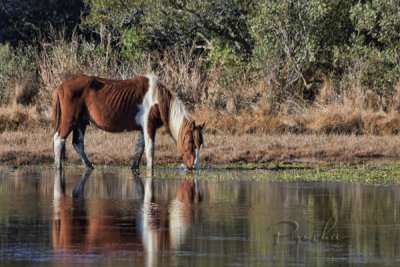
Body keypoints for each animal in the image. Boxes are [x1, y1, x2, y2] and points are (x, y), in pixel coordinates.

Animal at [52, 74, 205, 173]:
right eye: (191, 143)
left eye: (200, 144)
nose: (195, 167)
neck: (157, 99)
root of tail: (61, 86)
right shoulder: (149, 126)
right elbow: (150, 151)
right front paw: (150, 171)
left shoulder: (143, 129)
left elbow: (139, 149)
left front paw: (134, 168)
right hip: (70, 121)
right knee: (59, 139)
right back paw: (58, 167)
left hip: (80, 123)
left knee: (77, 144)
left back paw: (89, 166)